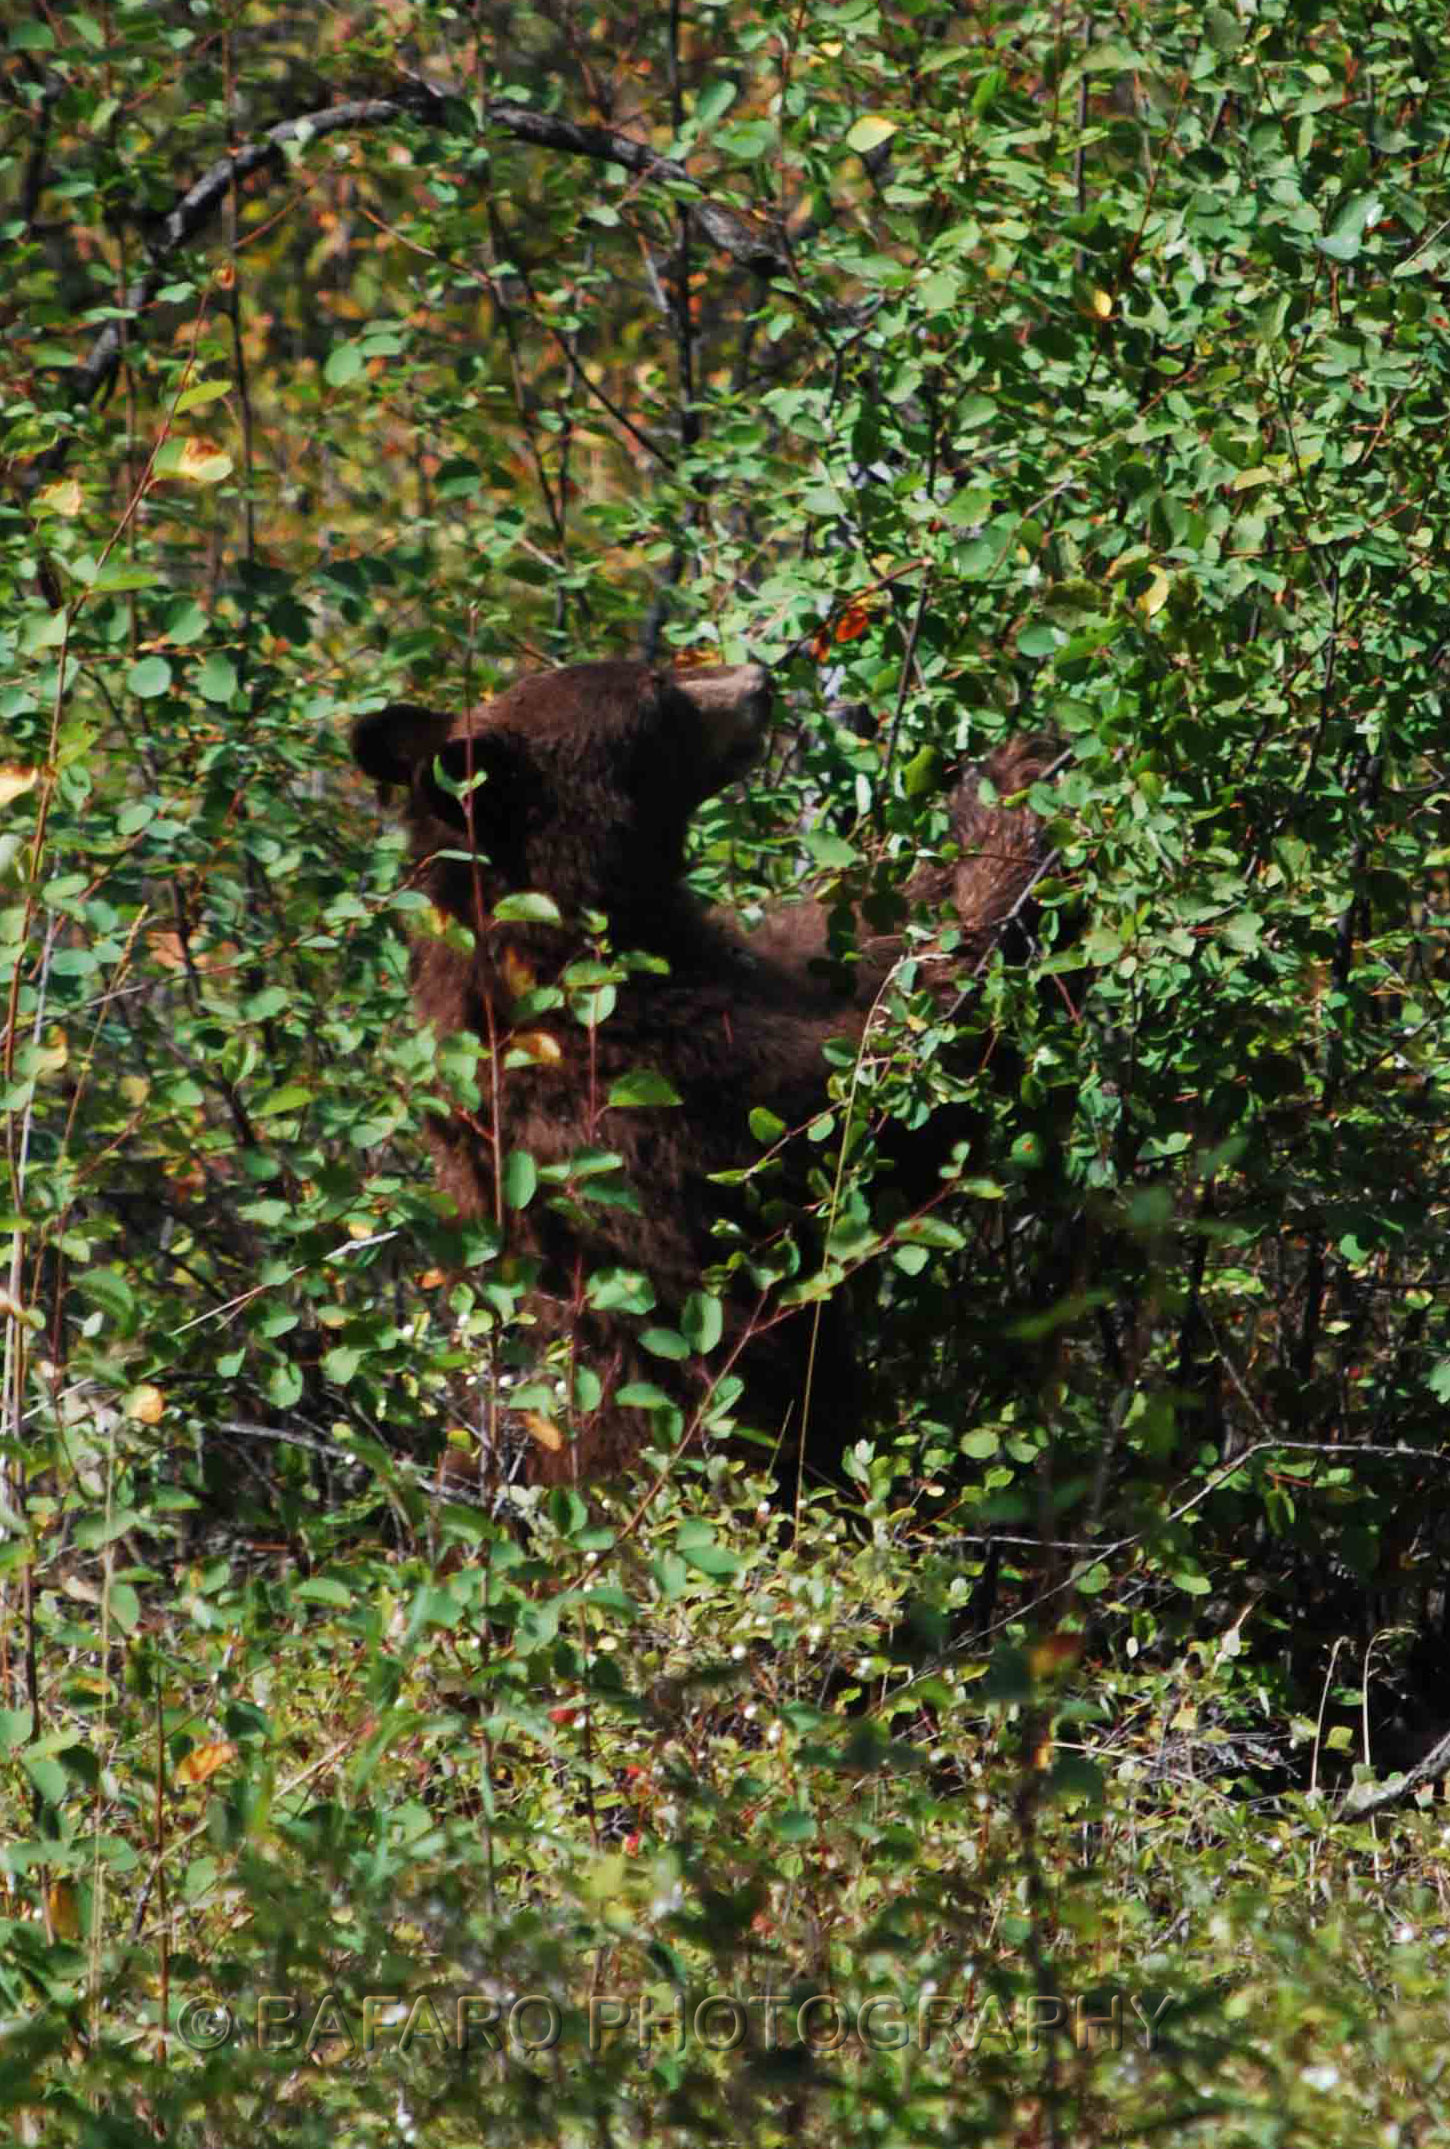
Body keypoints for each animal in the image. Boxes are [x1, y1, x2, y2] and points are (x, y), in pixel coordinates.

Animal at [352, 659, 1055, 1488]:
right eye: (656, 695)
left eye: (646, 669)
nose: (758, 679)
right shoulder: (663, 1086)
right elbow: (877, 1098)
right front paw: (1011, 824)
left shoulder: (728, 971)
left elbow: (839, 945)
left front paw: (990, 780)